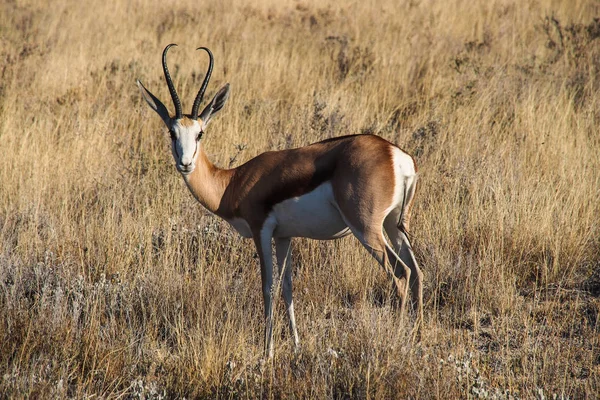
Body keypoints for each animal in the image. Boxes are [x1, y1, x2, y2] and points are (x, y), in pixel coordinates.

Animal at [138, 44, 424, 360]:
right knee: (417, 272)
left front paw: (268, 352)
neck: (232, 182)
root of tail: (395, 155)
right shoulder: (284, 236)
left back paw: (398, 340)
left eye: (200, 133)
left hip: (367, 229)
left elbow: (268, 286)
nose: (186, 163)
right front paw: (297, 346)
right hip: (395, 225)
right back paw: (418, 338)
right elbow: (288, 287)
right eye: (172, 132)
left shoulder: (261, 231)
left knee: (401, 273)